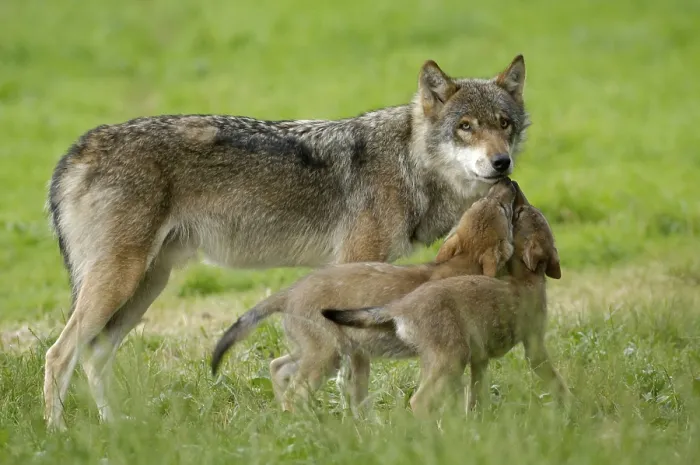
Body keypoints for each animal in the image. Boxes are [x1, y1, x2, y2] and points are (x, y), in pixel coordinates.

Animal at [44, 55, 529, 429]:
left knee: (92, 356)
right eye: (465, 126)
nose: (501, 163)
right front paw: (363, 427)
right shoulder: (356, 270)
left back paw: (113, 427)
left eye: (504, 125)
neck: (408, 164)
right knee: (57, 354)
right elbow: (356, 375)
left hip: (144, 288)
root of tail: (78, 148)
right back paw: (58, 433)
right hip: (119, 284)